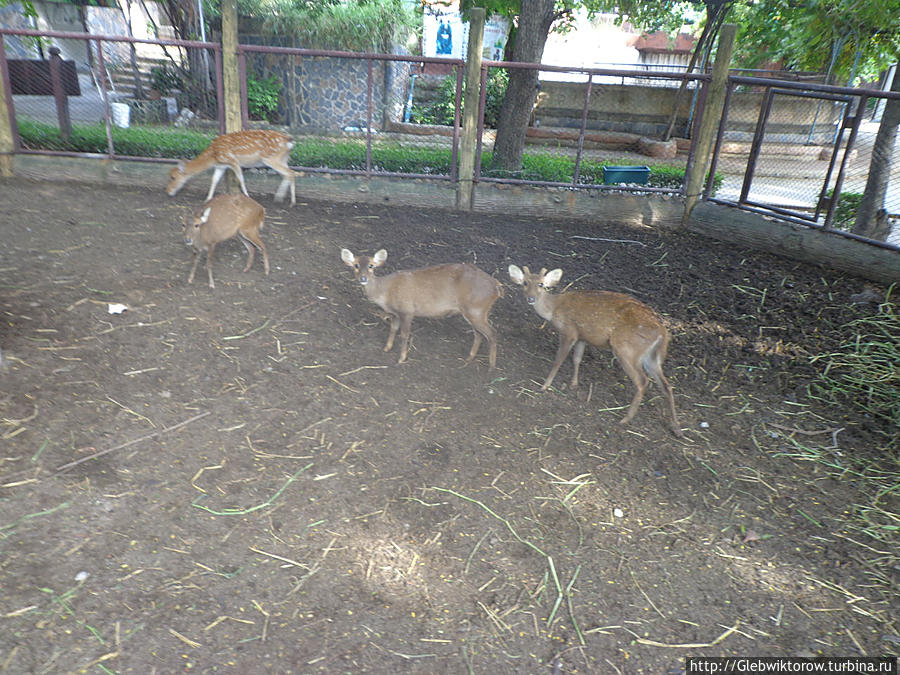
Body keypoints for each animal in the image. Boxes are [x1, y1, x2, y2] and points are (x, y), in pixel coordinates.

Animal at [165, 130, 296, 206]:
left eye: (173, 177)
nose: (168, 191)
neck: (213, 156)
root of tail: (289, 141)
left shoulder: (233, 161)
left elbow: (240, 179)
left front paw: (247, 196)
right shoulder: (221, 166)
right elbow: (214, 180)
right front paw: (207, 199)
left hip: (271, 158)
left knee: (290, 173)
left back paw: (292, 202)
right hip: (283, 158)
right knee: (288, 173)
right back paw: (279, 198)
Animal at [342, 248, 502, 368]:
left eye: (371, 266)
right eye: (356, 265)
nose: (363, 279)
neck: (385, 293)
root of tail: (497, 287)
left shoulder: (407, 310)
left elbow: (404, 334)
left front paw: (401, 358)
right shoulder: (396, 313)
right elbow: (393, 328)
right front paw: (387, 348)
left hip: (476, 309)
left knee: (492, 333)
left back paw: (491, 366)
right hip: (475, 312)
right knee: (479, 334)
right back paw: (469, 358)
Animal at [506, 264, 684, 438]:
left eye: (541, 284)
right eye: (525, 283)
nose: (531, 299)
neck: (554, 309)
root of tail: (662, 333)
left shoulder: (569, 331)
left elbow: (559, 359)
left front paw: (544, 386)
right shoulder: (582, 336)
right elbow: (577, 358)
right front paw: (574, 384)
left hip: (627, 349)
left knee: (642, 381)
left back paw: (625, 419)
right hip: (652, 357)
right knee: (667, 385)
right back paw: (676, 427)